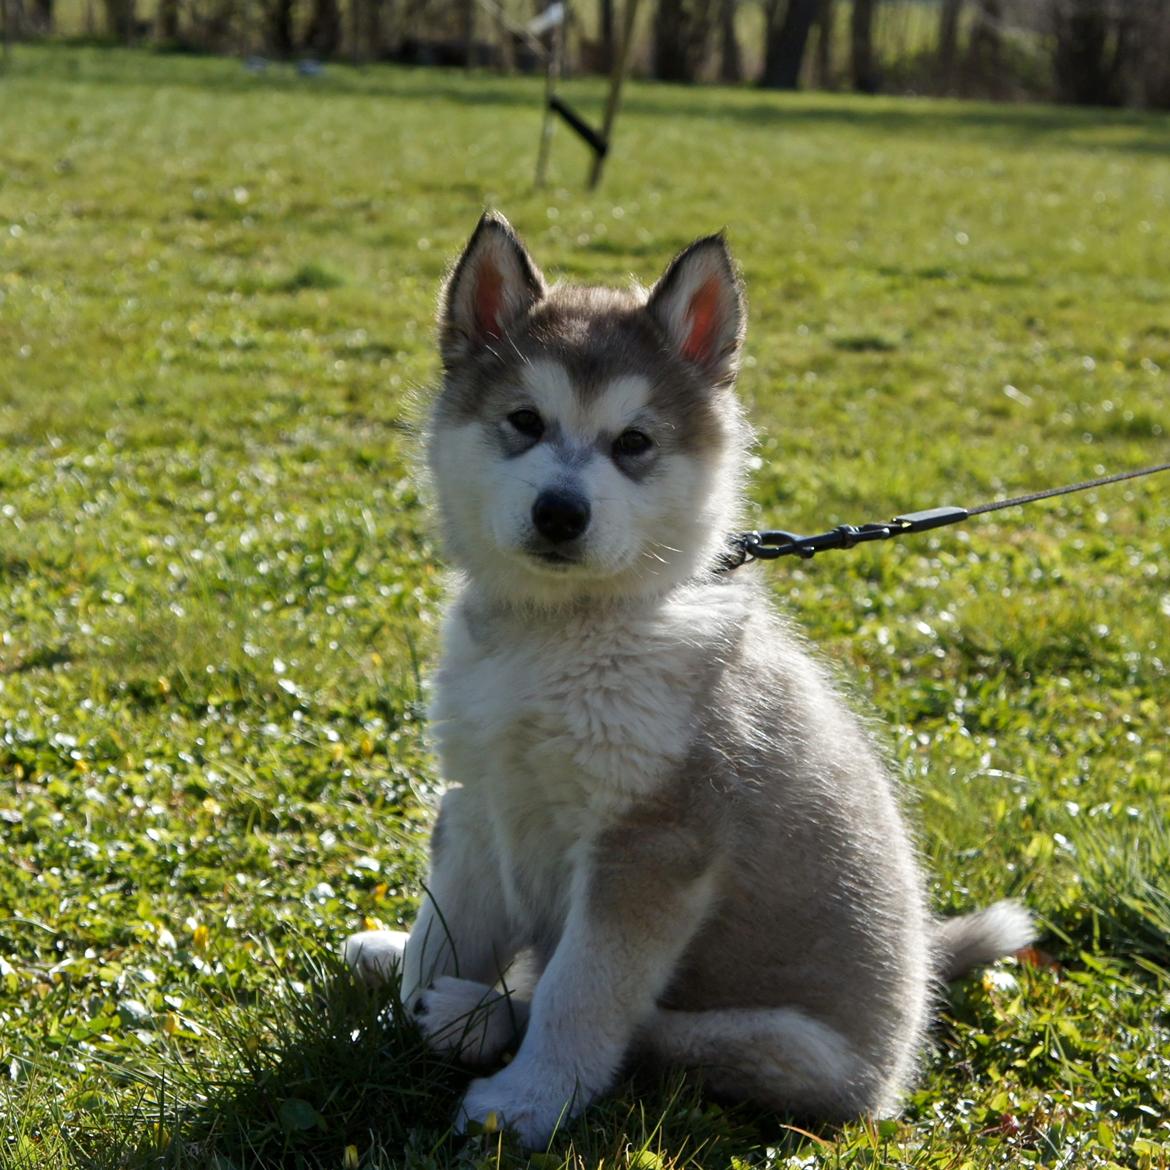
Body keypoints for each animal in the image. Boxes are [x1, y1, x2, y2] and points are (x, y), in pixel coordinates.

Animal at [341, 215, 1034, 1146]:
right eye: (524, 421)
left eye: (634, 443)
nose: (560, 513)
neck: (562, 639)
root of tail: (908, 1031)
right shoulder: (481, 795)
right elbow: (442, 928)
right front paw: (409, 987)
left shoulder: (652, 843)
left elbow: (580, 994)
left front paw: (525, 1102)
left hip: (773, 1045)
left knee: (643, 1033)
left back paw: (477, 1020)